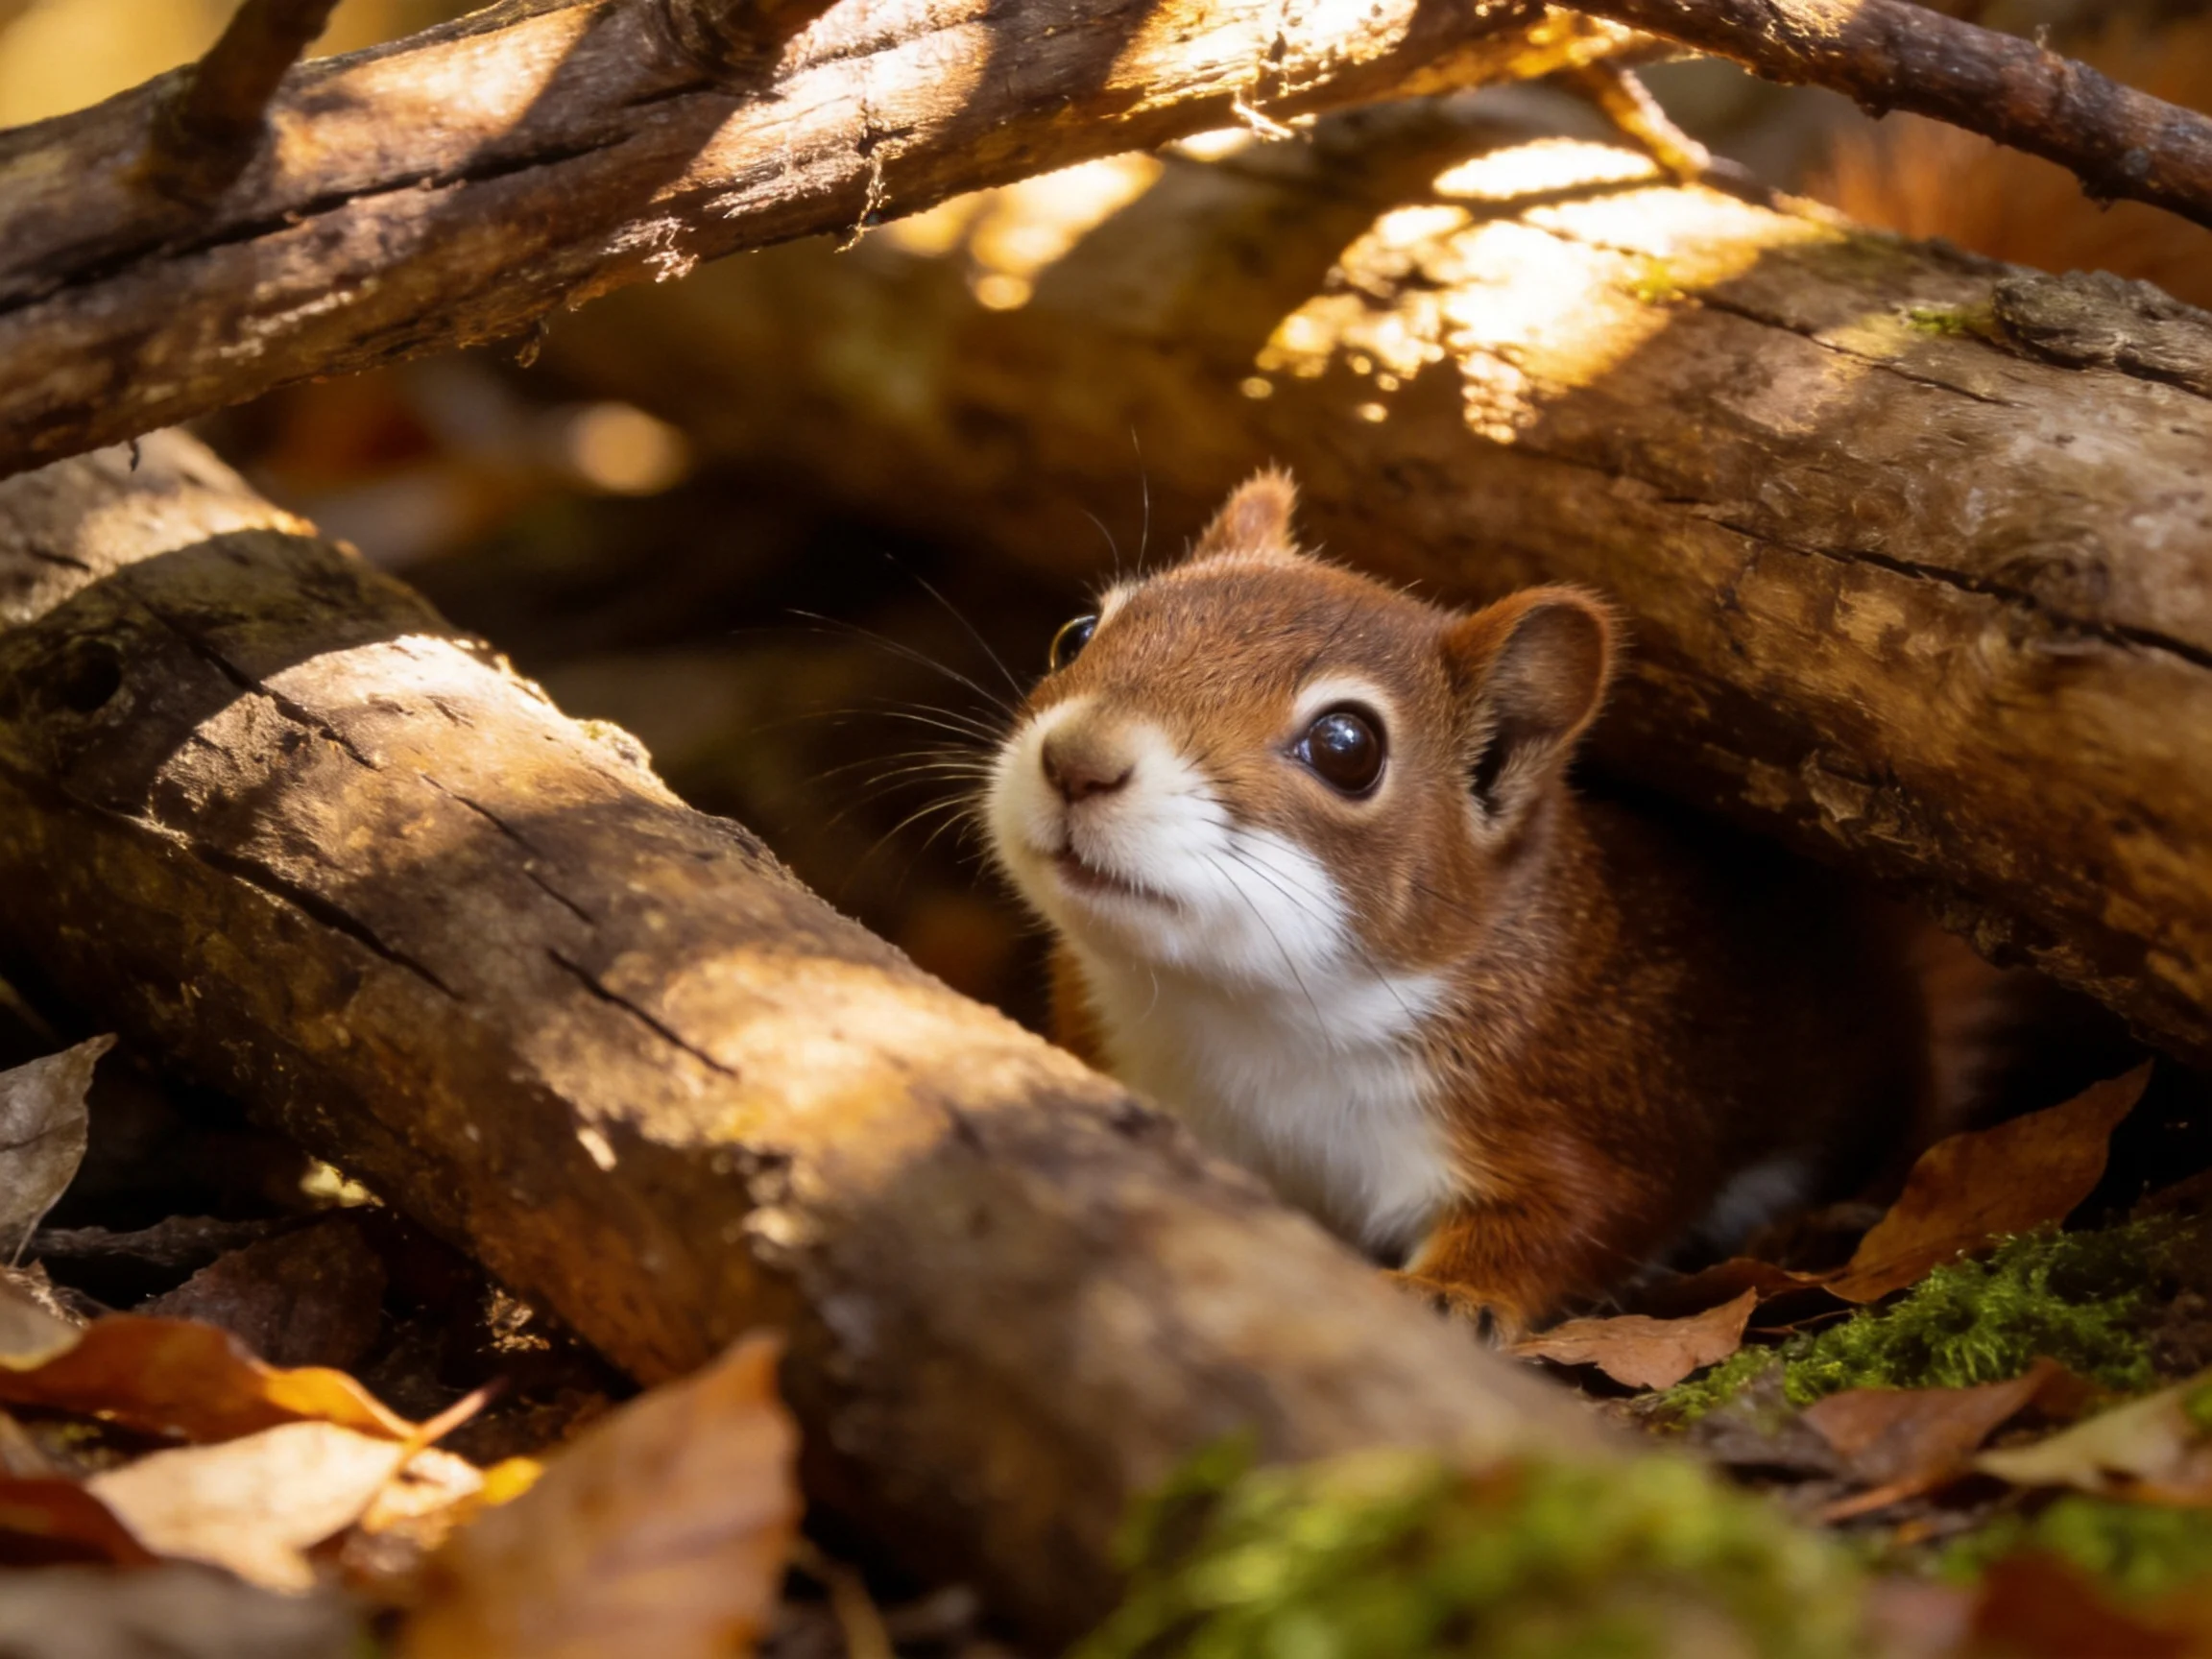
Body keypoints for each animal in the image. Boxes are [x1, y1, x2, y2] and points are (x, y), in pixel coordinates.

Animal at [985, 473, 1935, 1336]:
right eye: (1076, 635)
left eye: (1347, 746)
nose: (1079, 760)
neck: (1244, 1017)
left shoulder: (1583, 1106)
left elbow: (1580, 1216)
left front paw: (1453, 1293)